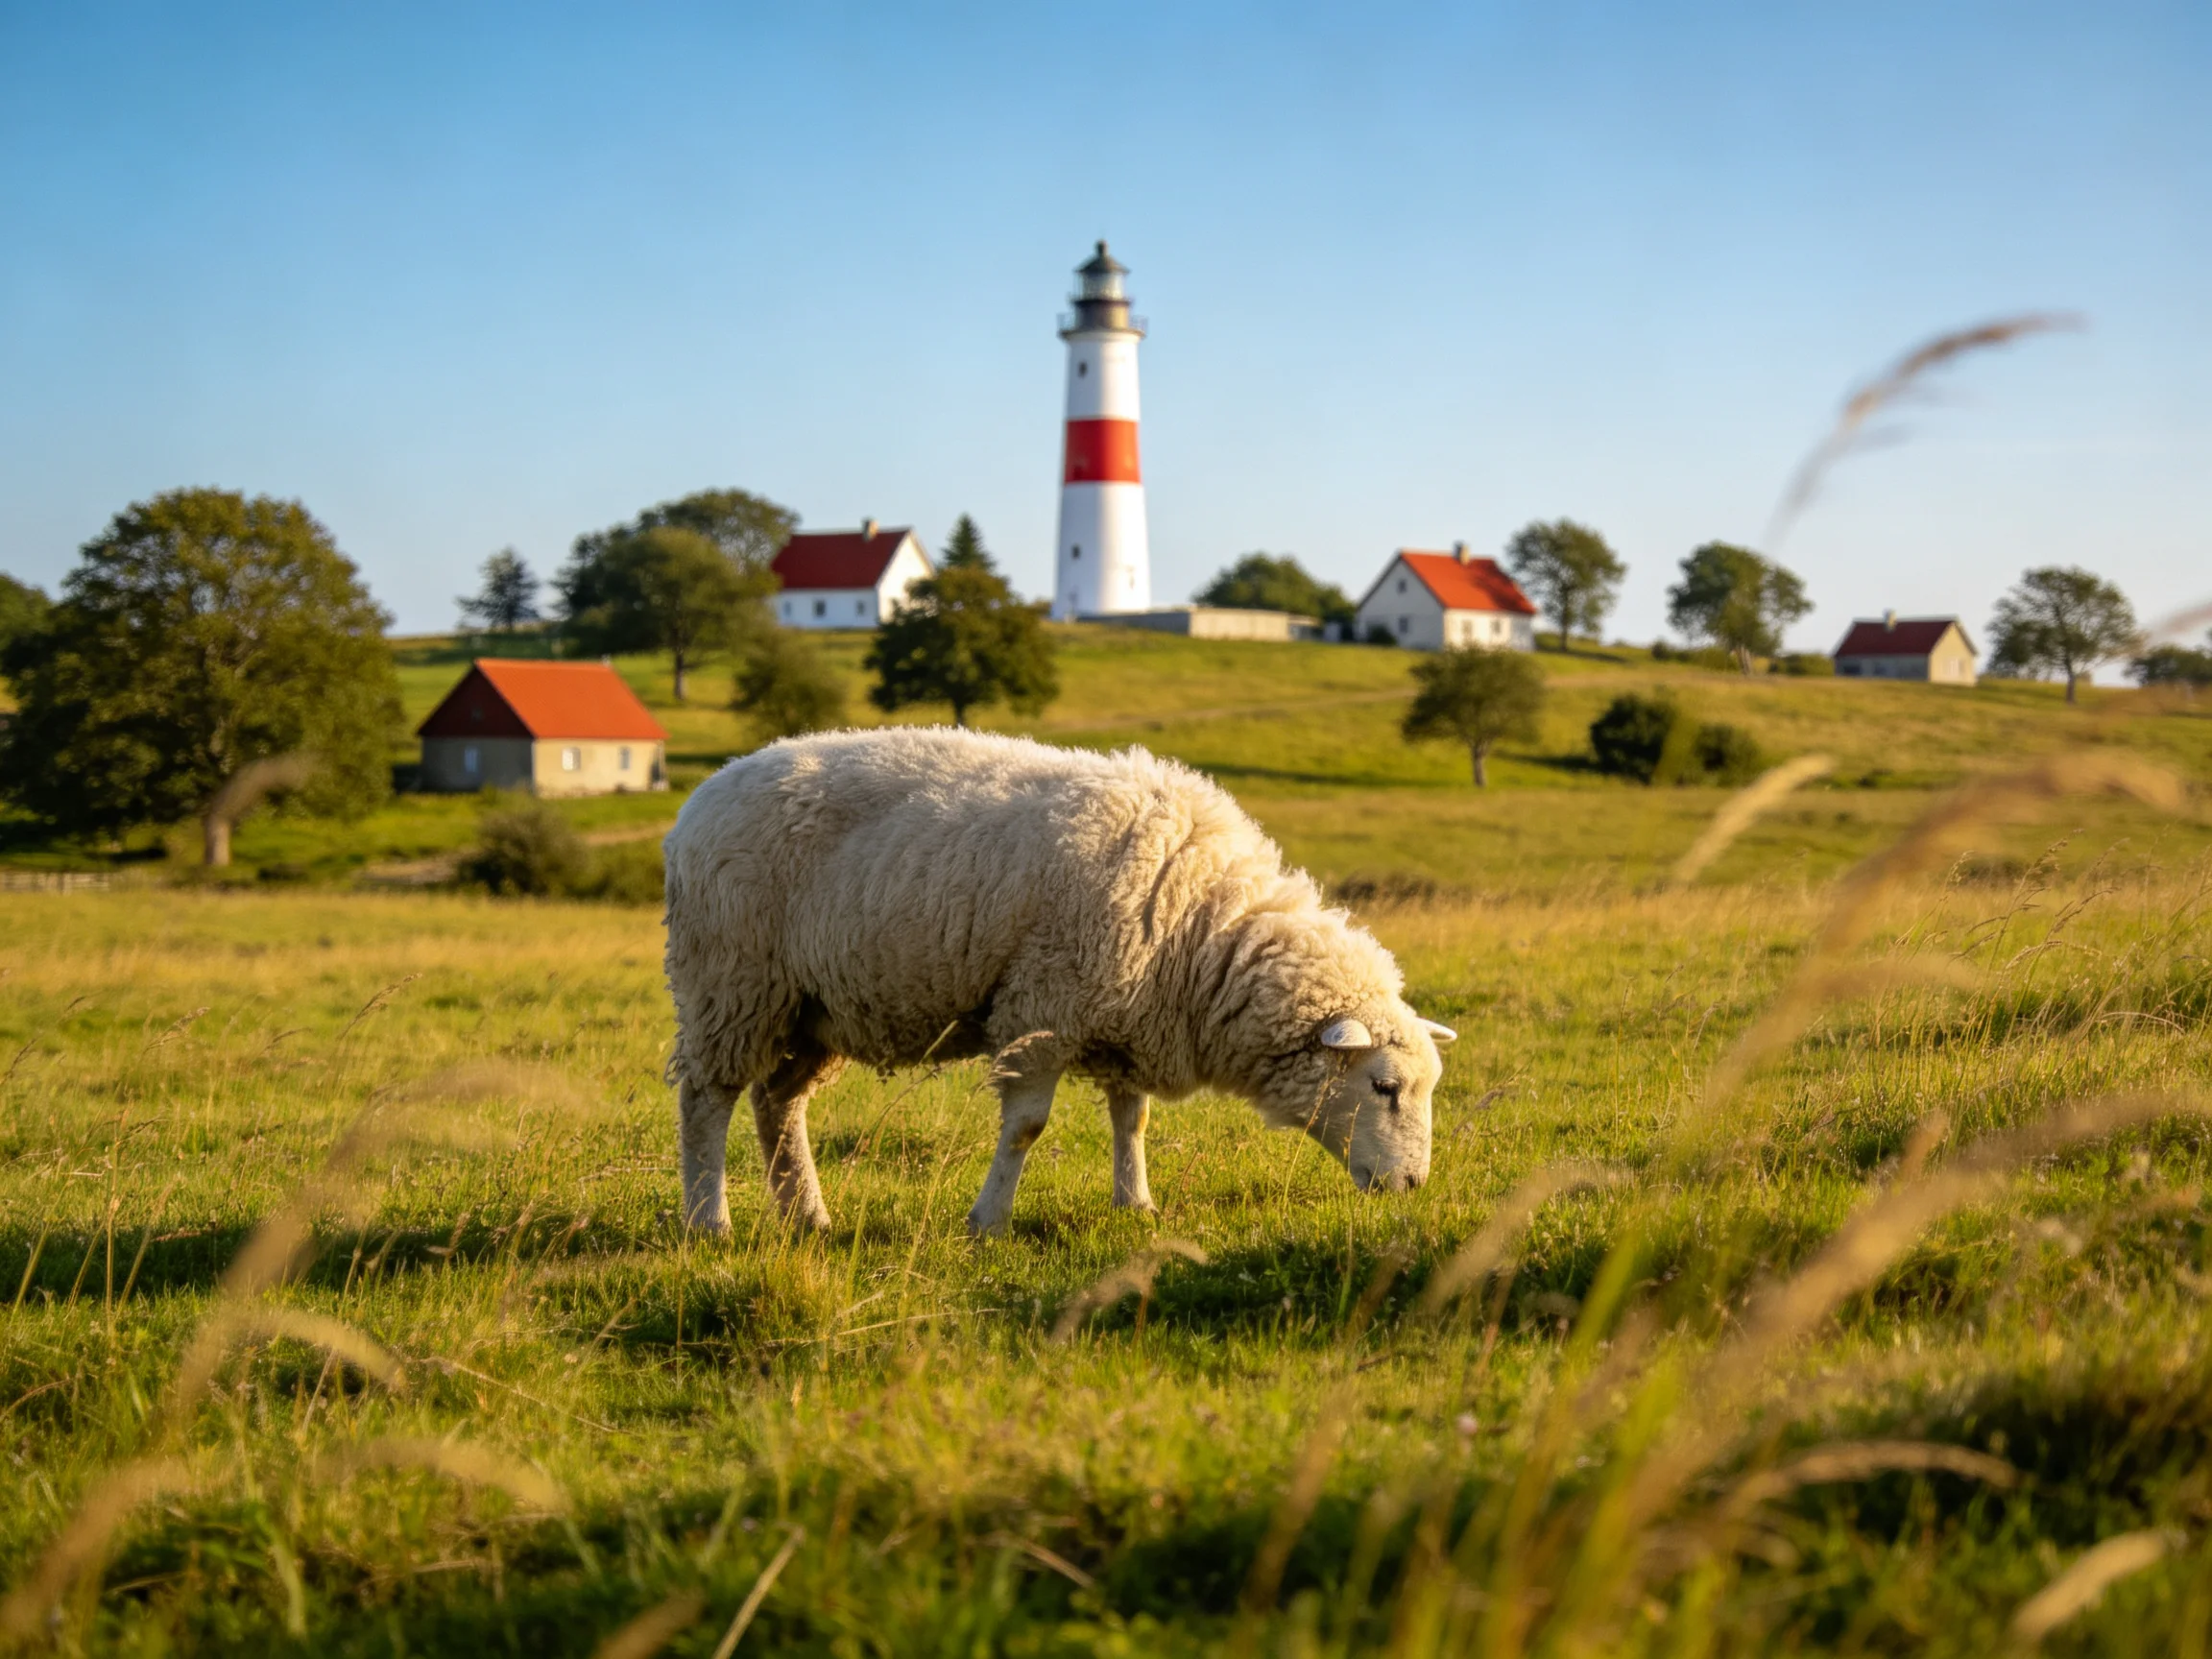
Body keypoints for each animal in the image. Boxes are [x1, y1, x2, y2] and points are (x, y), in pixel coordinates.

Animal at [662, 727, 1456, 1237]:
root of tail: (699, 800)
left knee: (777, 1104)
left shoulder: (1130, 1017)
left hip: (810, 1007)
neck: (1203, 925)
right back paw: (709, 1221)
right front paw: (988, 1221)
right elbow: (1027, 1128)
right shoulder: (1042, 1008)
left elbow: (1132, 1120)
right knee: (707, 1100)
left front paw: (1136, 1204)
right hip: (730, 981)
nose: (1413, 1185)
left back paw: (808, 1217)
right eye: (1385, 1087)